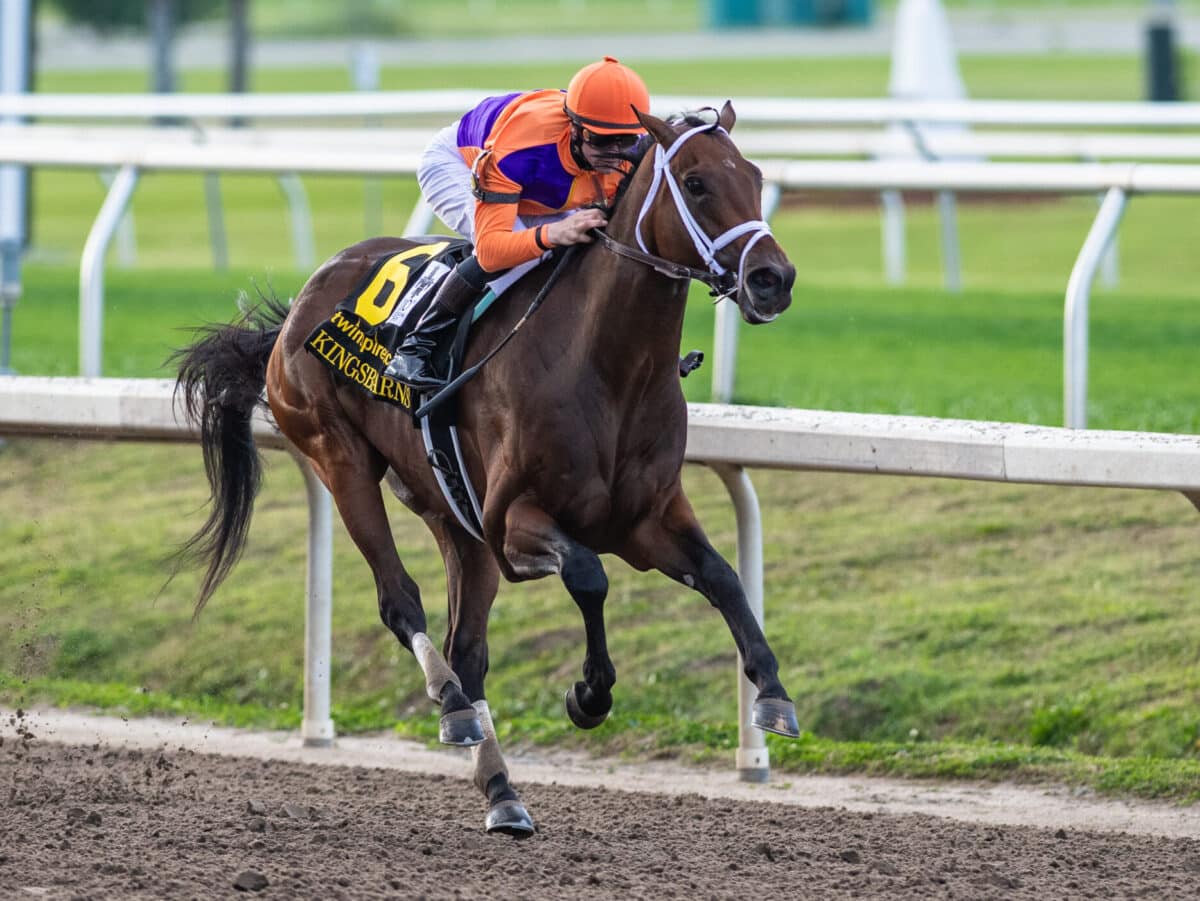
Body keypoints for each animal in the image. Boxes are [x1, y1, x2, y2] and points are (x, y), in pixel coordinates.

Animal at [174, 105, 796, 839]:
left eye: (755, 177)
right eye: (696, 184)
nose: (773, 279)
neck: (609, 367)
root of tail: (302, 302)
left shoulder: (647, 518)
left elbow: (724, 578)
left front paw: (774, 694)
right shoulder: (513, 521)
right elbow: (589, 574)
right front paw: (588, 694)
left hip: (452, 516)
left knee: (466, 648)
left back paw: (500, 789)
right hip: (341, 460)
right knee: (402, 603)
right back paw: (451, 704)